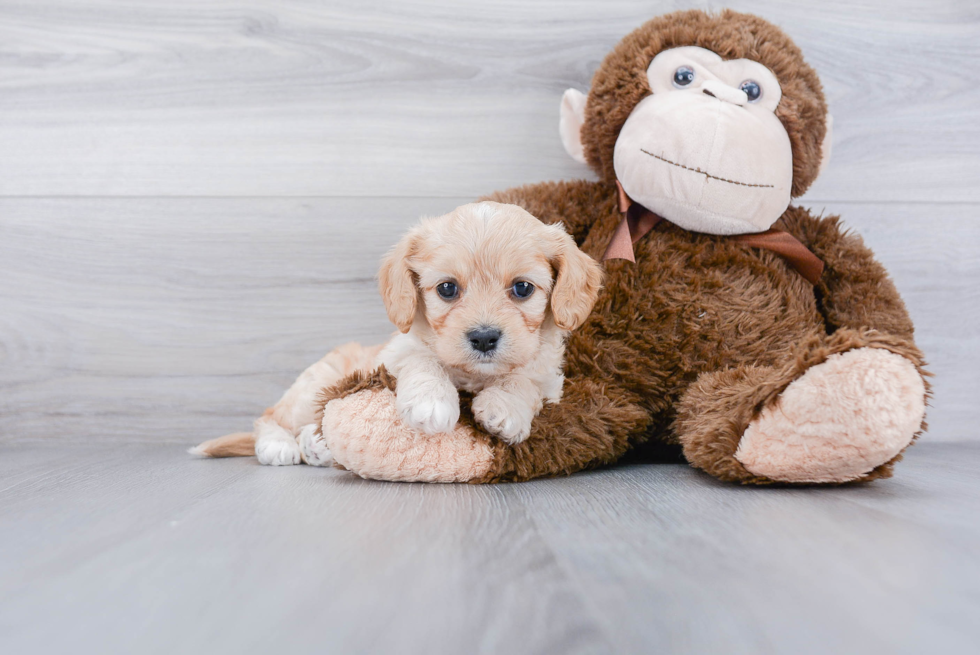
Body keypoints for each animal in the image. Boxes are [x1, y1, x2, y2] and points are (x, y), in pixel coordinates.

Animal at [190, 201, 600, 466]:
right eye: (447, 289)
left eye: (523, 288)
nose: (484, 338)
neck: (472, 376)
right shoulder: (397, 352)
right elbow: (423, 360)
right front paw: (432, 402)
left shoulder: (549, 378)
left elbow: (524, 379)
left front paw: (504, 409)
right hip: (311, 388)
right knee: (269, 416)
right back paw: (279, 445)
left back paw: (315, 446)